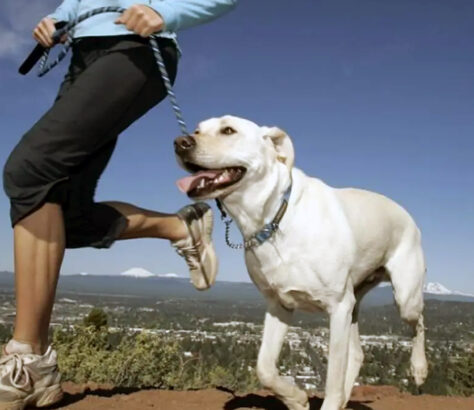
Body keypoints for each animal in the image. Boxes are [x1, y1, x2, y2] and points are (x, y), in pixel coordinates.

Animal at [175, 114, 430, 410]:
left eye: (228, 130)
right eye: (197, 130)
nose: (180, 143)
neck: (274, 218)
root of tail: (406, 214)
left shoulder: (337, 307)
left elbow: (332, 378)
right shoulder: (279, 305)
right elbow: (264, 368)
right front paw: (296, 399)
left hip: (403, 297)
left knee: (418, 322)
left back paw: (419, 369)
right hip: (354, 304)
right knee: (357, 354)